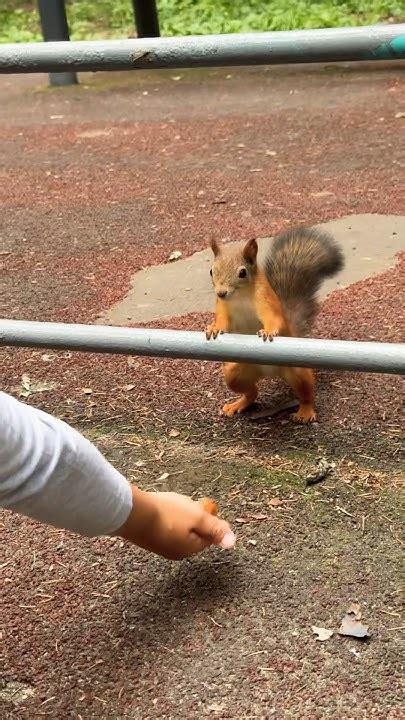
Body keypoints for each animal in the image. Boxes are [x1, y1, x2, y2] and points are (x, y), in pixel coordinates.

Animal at [207, 228, 342, 422]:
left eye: (242, 272)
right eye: (212, 271)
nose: (221, 292)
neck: (240, 297)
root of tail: (269, 373)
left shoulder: (265, 300)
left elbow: (273, 319)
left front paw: (269, 331)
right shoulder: (223, 307)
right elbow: (222, 320)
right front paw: (214, 327)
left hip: (297, 372)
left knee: (306, 392)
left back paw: (305, 411)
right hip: (235, 373)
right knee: (252, 392)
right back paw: (238, 404)